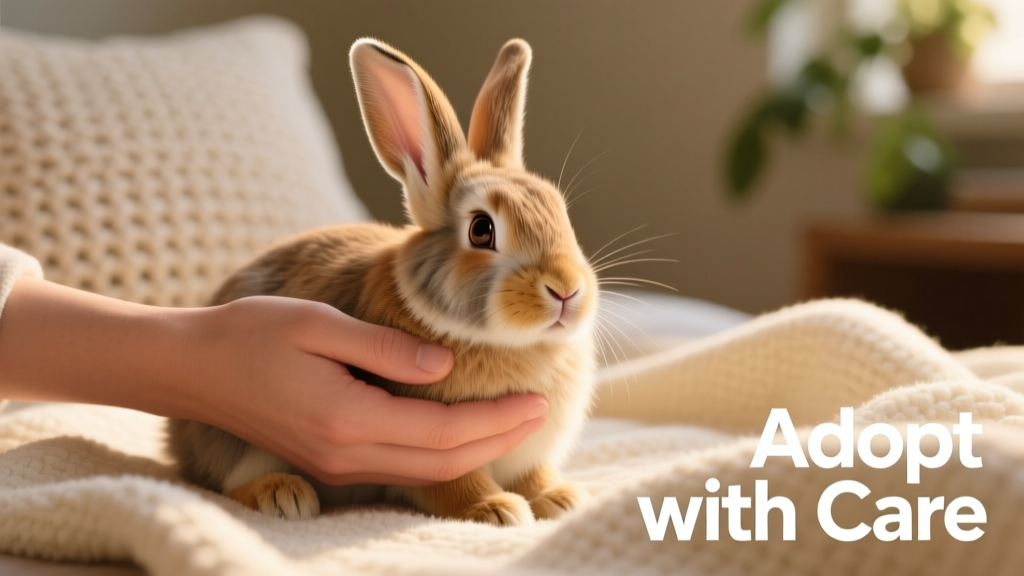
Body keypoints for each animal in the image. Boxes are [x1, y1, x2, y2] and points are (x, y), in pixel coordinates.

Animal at [167, 38, 598, 527]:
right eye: (481, 230)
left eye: (561, 212)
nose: (566, 290)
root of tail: (177, 441)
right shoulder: (437, 458)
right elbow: (455, 484)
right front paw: (497, 509)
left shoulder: (526, 454)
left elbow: (532, 475)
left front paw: (561, 499)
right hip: (237, 439)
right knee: (225, 483)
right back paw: (281, 494)